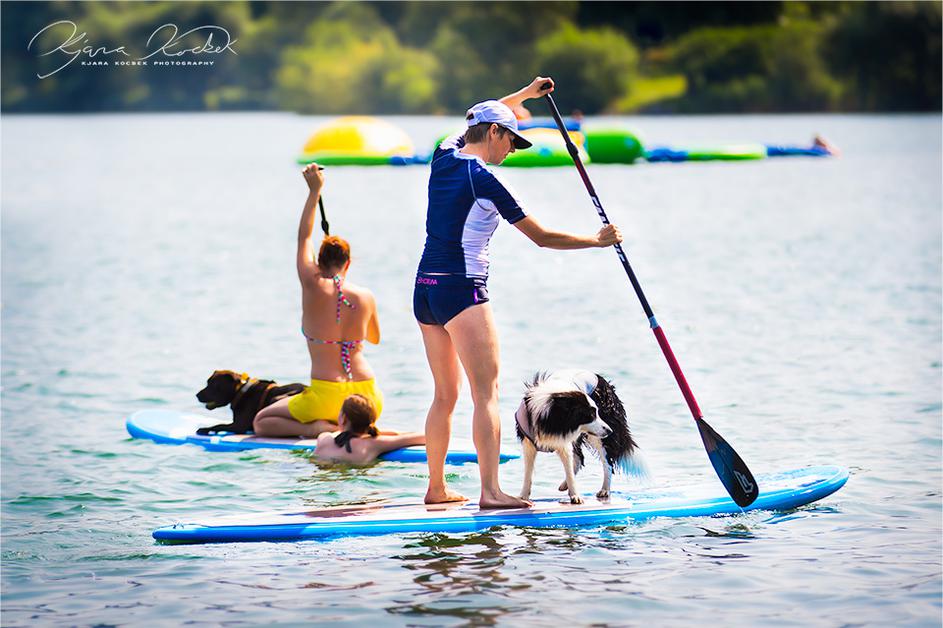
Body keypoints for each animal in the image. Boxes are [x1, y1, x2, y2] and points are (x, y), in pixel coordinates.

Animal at [515, 369, 646, 504]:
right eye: (591, 415)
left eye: (597, 413)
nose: (610, 430)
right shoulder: (529, 442)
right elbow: (528, 472)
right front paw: (523, 497)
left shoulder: (565, 439)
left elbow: (569, 467)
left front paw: (575, 496)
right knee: (579, 459)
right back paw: (565, 485)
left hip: (600, 436)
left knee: (607, 463)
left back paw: (604, 490)